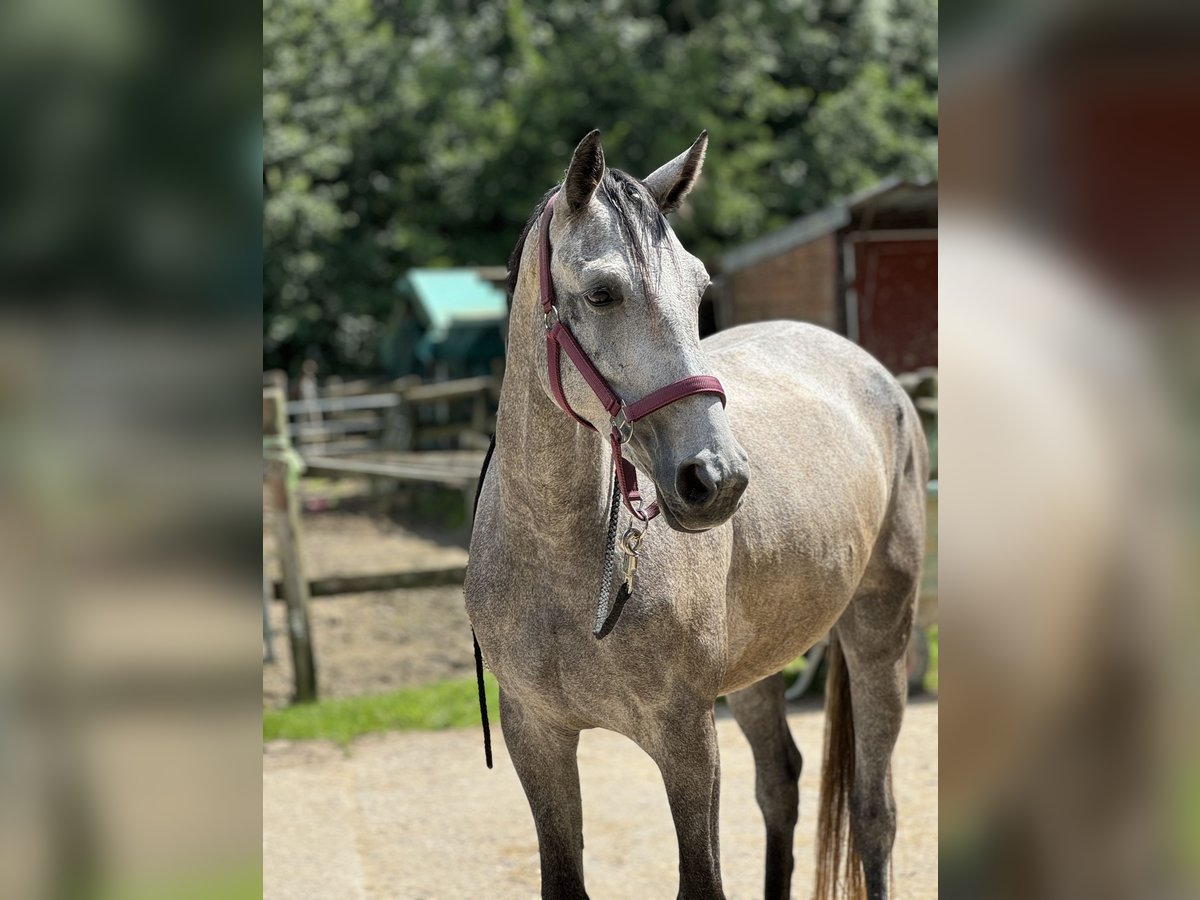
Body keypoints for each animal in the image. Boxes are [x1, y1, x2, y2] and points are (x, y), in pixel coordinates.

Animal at [463, 132, 921, 900]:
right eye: (602, 292)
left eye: (699, 290)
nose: (717, 478)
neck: (560, 558)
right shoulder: (537, 735)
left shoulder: (685, 740)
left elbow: (701, 879)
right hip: (759, 667)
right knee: (781, 785)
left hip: (879, 633)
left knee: (874, 812)